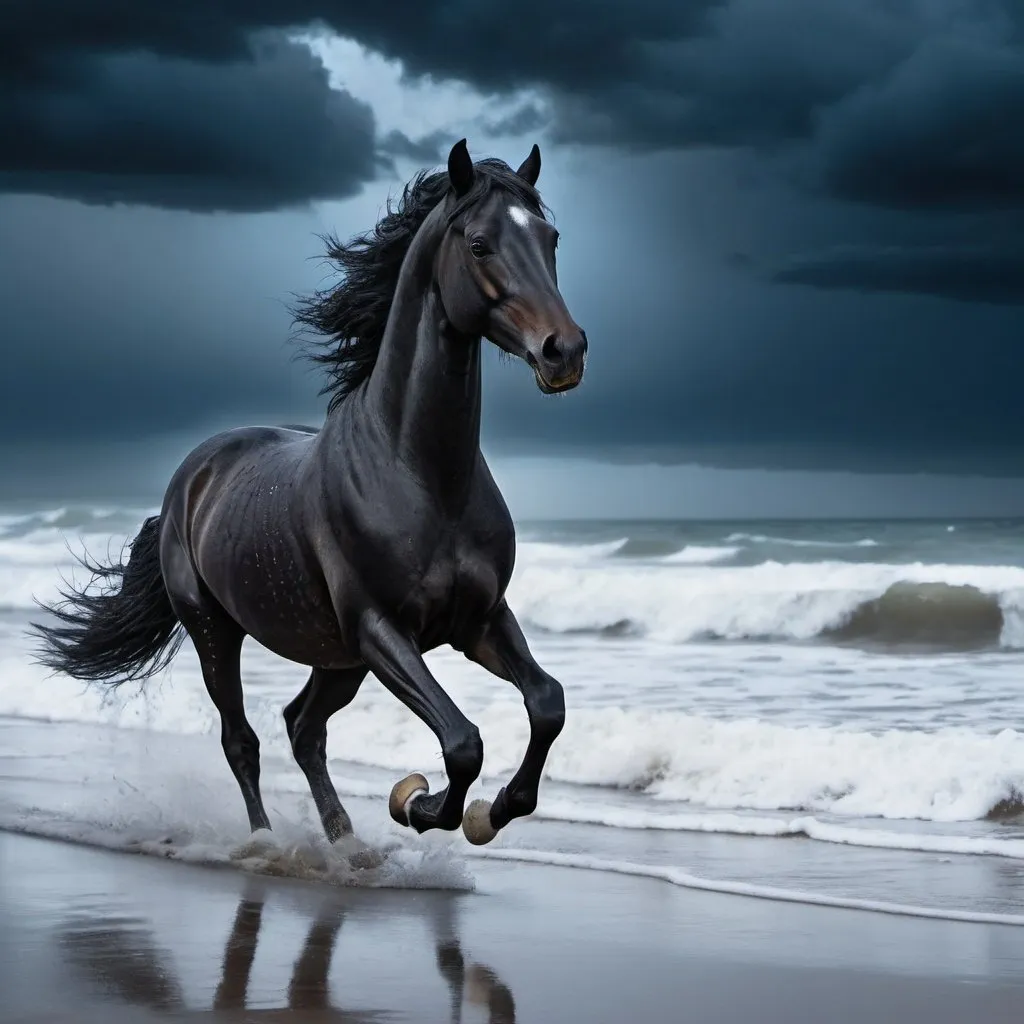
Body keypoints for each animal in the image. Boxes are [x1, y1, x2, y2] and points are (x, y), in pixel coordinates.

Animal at [32, 140, 589, 851]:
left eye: (550, 238)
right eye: (480, 244)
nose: (564, 351)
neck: (422, 476)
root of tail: (191, 477)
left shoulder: (479, 620)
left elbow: (547, 704)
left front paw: (488, 812)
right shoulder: (381, 629)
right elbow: (463, 741)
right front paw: (419, 804)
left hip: (337, 659)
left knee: (303, 727)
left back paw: (346, 846)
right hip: (218, 632)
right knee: (243, 740)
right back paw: (269, 844)